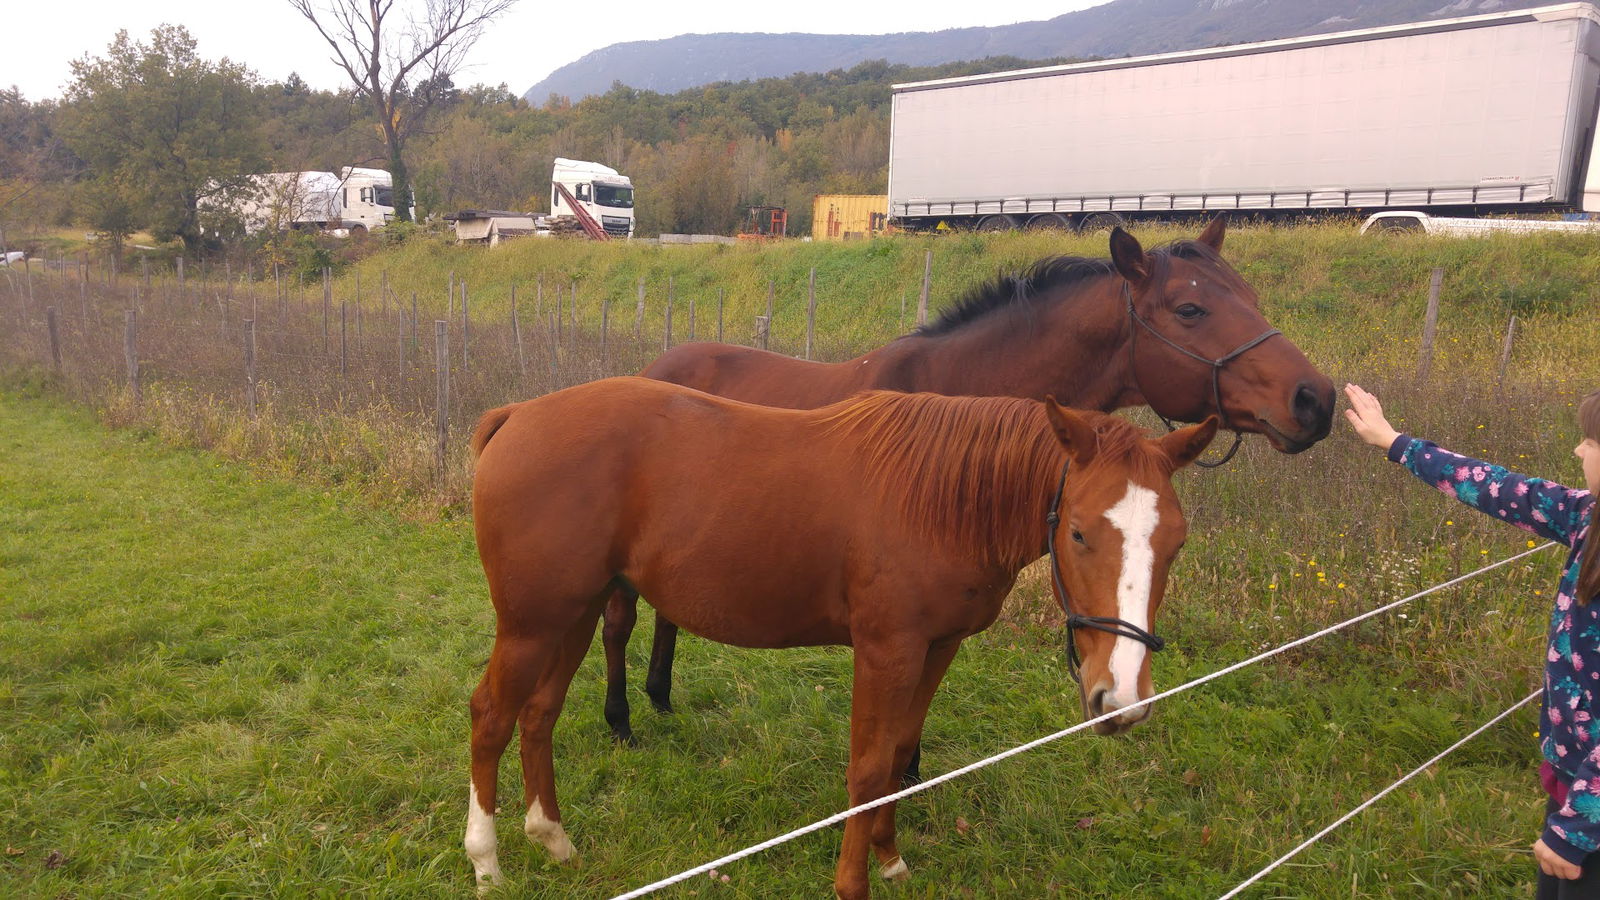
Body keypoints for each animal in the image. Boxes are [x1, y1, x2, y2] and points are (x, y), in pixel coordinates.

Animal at [467, 374, 1216, 890]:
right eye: (1080, 532)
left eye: (1176, 543)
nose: (1121, 699)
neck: (939, 498)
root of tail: (517, 416)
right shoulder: (886, 652)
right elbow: (869, 767)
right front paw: (855, 881)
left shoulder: (937, 648)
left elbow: (900, 756)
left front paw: (891, 859)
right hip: (533, 626)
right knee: (491, 718)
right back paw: (487, 863)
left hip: (573, 615)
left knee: (538, 716)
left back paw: (553, 839)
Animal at [601, 216, 1337, 743]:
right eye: (1190, 311)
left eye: (1251, 298)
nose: (1316, 399)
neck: (957, 400)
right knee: (618, 623)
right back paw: (622, 721)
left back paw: (660, 695)